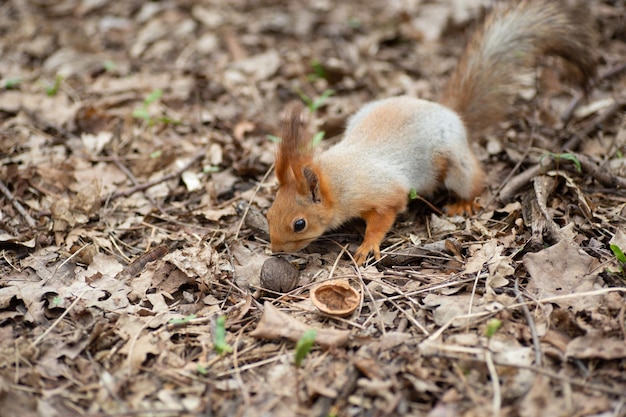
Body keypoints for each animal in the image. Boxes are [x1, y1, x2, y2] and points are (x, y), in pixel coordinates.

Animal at [264, 0, 596, 264]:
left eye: (299, 224)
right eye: (268, 213)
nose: (276, 250)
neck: (337, 180)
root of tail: (448, 112)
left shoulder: (385, 192)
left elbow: (384, 217)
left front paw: (368, 245)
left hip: (455, 163)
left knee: (473, 180)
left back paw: (464, 202)